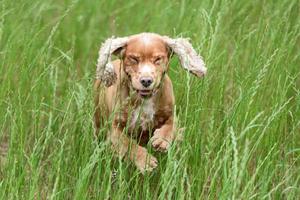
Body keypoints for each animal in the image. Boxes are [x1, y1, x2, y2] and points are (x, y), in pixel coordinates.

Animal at [94, 33, 206, 173]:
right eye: (134, 59)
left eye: (158, 59)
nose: (146, 81)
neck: (145, 100)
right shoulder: (114, 128)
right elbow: (127, 143)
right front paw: (145, 161)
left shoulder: (171, 113)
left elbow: (171, 126)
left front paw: (161, 140)